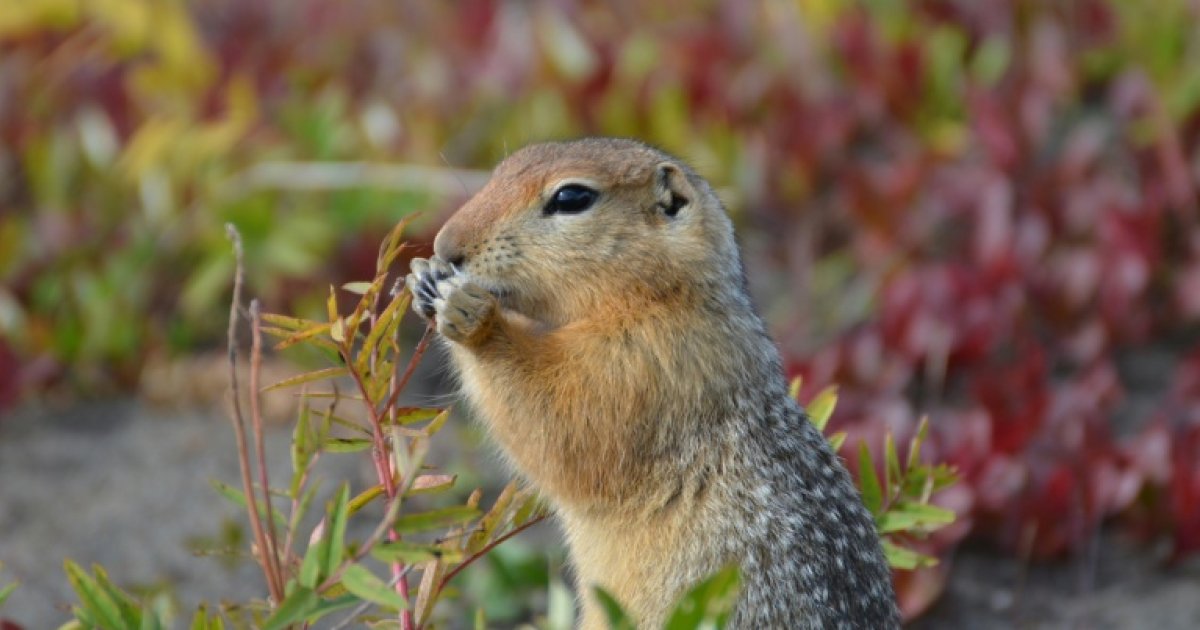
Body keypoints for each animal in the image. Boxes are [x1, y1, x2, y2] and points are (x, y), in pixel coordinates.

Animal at [406, 138, 900, 629]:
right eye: (503, 168)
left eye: (572, 197)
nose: (445, 246)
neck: (663, 297)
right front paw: (422, 277)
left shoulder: (649, 361)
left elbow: (564, 420)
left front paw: (470, 313)